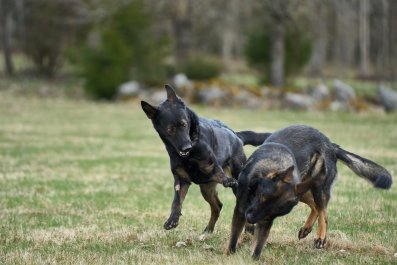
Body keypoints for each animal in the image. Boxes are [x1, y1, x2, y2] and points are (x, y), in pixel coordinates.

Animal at [224, 124, 392, 258]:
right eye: (262, 197)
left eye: (274, 213)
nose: (251, 218)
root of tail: (331, 144)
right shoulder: (241, 210)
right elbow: (234, 238)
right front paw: (229, 255)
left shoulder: (265, 220)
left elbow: (258, 247)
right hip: (302, 190)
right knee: (315, 206)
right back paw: (306, 228)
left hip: (317, 187)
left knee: (323, 211)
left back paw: (320, 237)